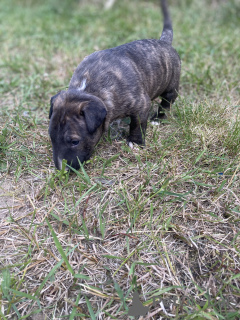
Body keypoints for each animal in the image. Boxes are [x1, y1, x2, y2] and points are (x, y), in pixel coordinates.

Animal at [48, 0, 180, 170]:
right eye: (51, 136)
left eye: (74, 142)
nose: (61, 170)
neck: (88, 89)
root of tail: (163, 41)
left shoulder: (141, 104)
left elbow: (137, 123)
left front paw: (135, 142)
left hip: (171, 86)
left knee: (167, 102)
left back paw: (158, 118)